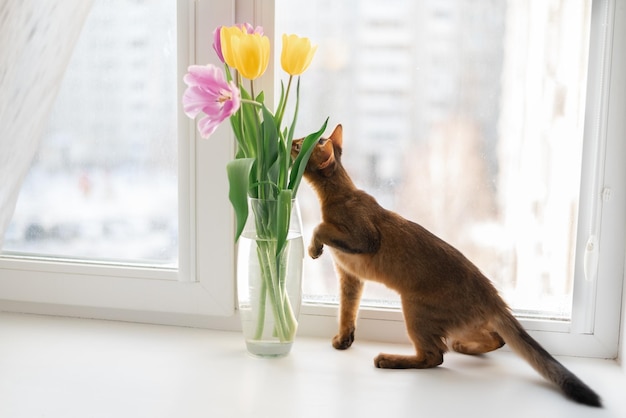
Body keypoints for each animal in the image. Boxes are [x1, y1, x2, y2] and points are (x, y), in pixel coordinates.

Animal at [292, 125, 600, 408]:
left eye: (298, 146)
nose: (292, 140)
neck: (339, 195)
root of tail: (493, 297)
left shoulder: (365, 239)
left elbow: (320, 227)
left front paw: (314, 247)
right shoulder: (350, 277)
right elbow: (347, 311)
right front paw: (344, 339)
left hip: (414, 308)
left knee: (435, 356)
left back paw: (390, 359)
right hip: (459, 323)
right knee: (493, 339)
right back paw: (466, 347)